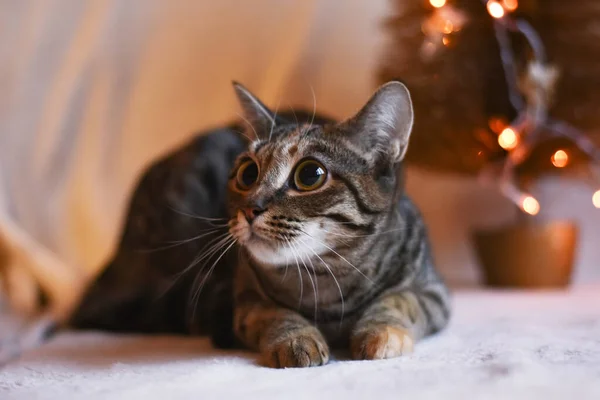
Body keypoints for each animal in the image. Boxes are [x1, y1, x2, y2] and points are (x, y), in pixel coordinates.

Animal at [71, 82, 450, 368]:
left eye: (310, 175)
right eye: (247, 173)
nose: (252, 209)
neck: (325, 280)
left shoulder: (432, 291)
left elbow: (398, 301)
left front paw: (380, 333)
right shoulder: (241, 298)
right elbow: (272, 314)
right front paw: (296, 339)